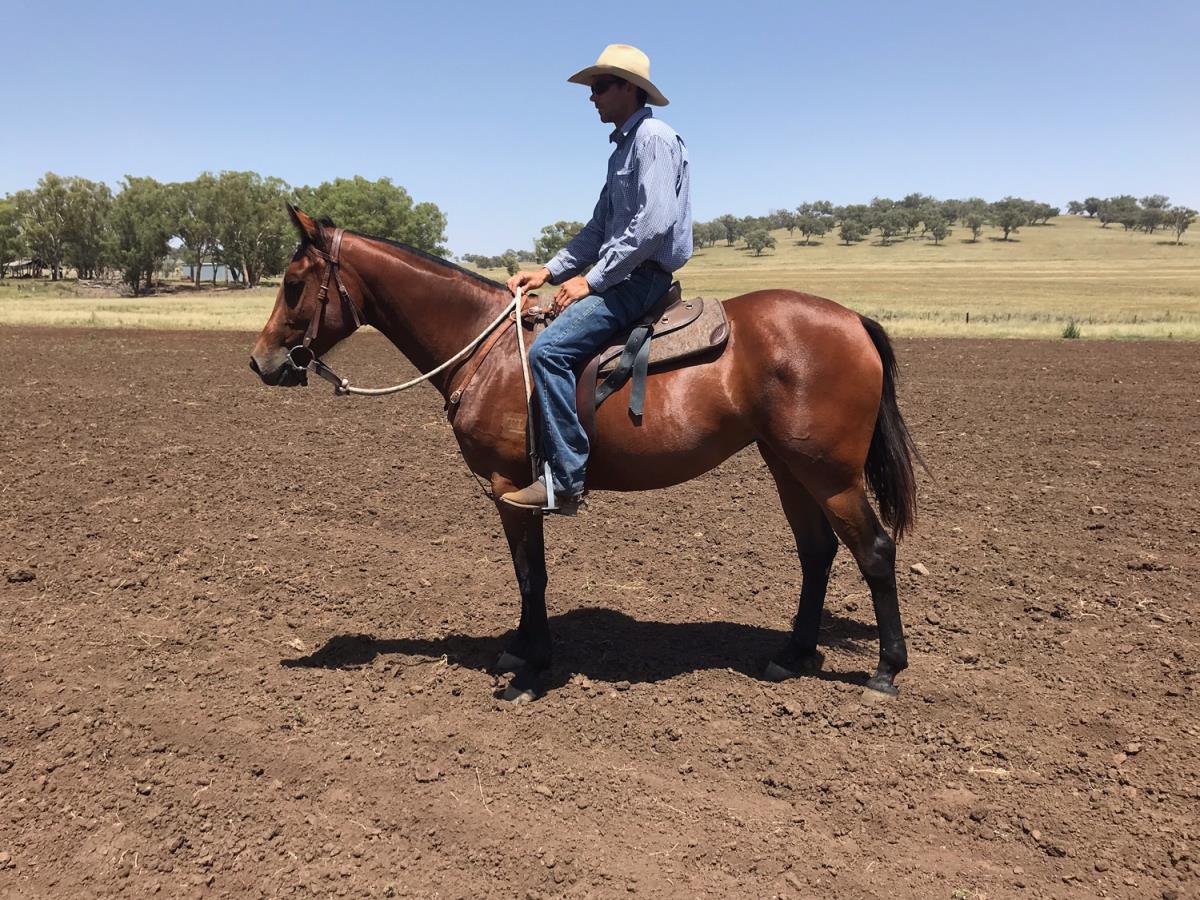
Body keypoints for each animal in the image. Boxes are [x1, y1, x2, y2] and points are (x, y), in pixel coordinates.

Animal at [250, 206, 921, 702]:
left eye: (292, 285)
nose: (262, 363)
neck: (493, 353)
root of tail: (854, 322)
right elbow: (526, 574)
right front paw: (519, 650)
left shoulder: (512, 487)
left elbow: (531, 574)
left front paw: (531, 671)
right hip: (788, 466)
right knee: (817, 552)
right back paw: (792, 655)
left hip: (829, 473)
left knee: (874, 551)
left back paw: (885, 672)